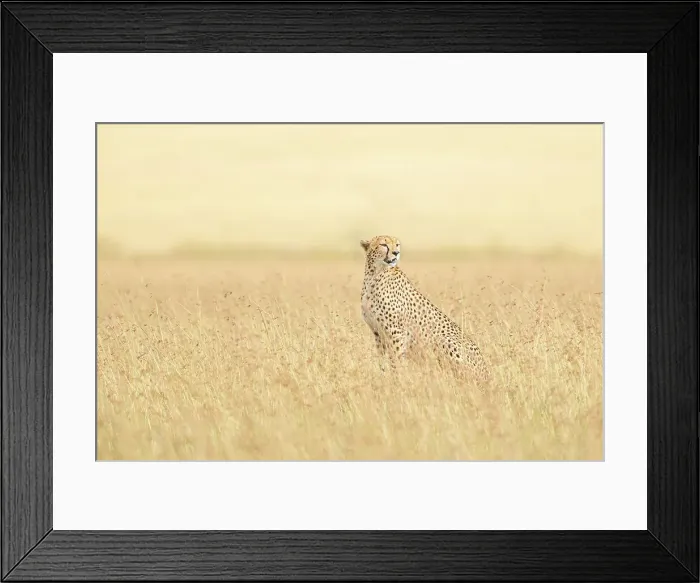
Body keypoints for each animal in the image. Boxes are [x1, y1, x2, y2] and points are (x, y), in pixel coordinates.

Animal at [360, 234, 490, 382]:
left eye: (397, 245)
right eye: (383, 245)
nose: (396, 253)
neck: (374, 273)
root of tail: (487, 373)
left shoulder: (396, 332)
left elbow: (396, 359)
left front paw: (398, 379)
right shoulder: (377, 332)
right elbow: (382, 359)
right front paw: (383, 375)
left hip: (445, 340)